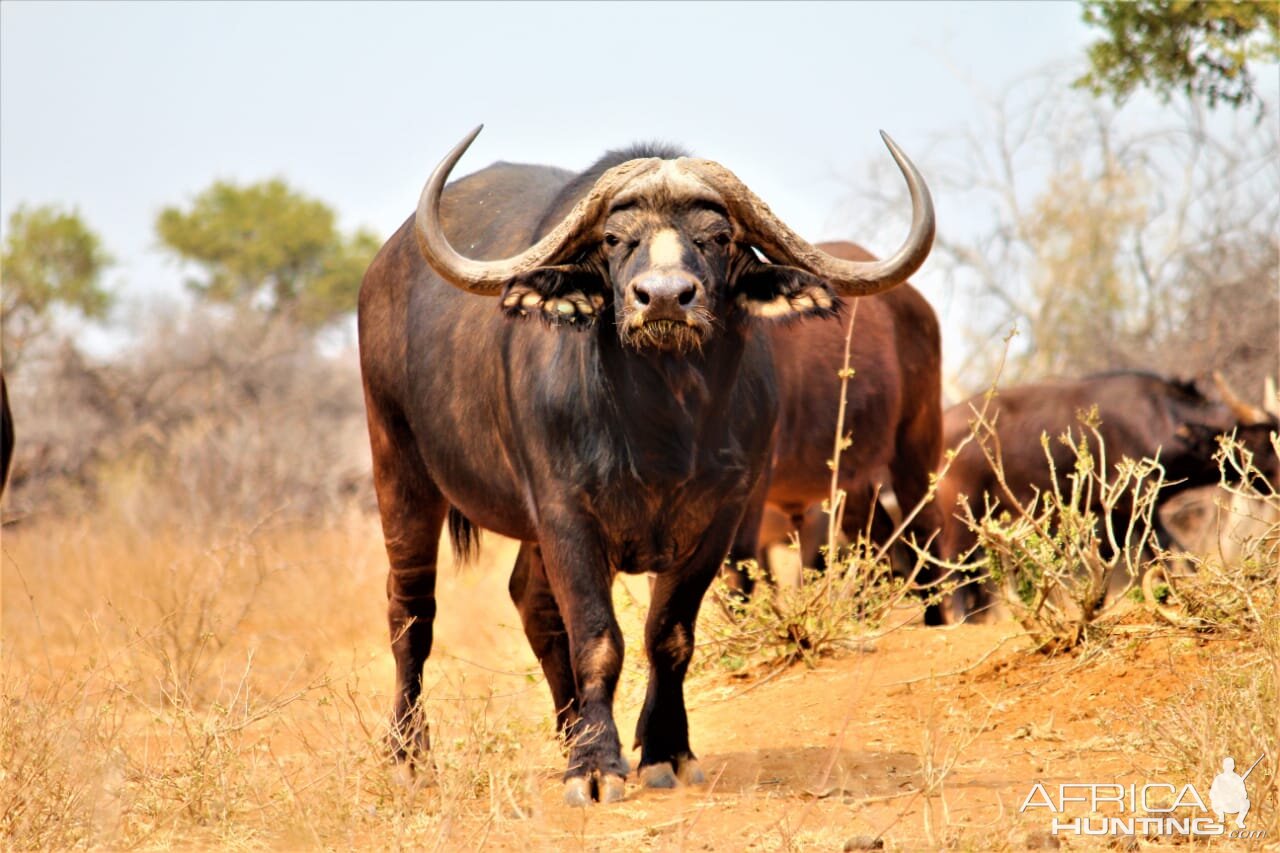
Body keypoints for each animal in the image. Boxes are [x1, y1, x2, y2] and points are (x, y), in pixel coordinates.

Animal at [355, 122, 936, 799]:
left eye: (718, 237)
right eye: (615, 239)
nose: (662, 299)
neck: (661, 424)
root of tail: (384, 270)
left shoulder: (722, 518)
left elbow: (669, 634)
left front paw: (662, 750)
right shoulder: (566, 512)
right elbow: (597, 638)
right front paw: (595, 767)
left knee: (531, 601)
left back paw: (568, 731)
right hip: (398, 466)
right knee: (411, 610)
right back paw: (410, 755)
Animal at [936, 366, 1274, 617]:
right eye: (1260, 442)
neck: (1158, 418)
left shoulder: (1121, 512)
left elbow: (1122, 552)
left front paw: (1099, 601)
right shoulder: (1135, 502)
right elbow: (1161, 547)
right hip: (960, 512)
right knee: (954, 563)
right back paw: (964, 618)